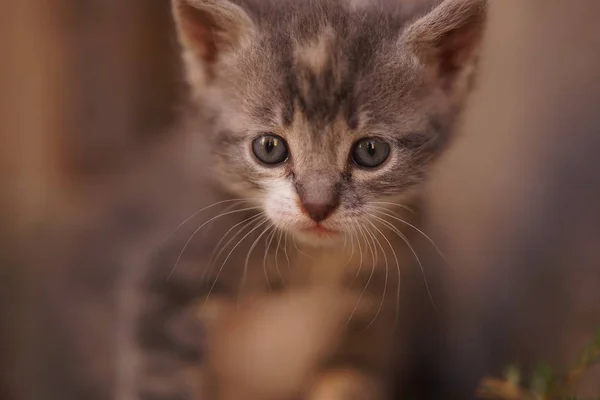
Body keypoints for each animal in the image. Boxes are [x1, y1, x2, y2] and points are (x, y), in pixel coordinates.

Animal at [132, 0, 488, 398]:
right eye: (269, 148)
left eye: (371, 151)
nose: (318, 206)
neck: (310, 264)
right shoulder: (164, 288)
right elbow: (160, 381)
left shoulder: (374, 321)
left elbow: (350, 379)